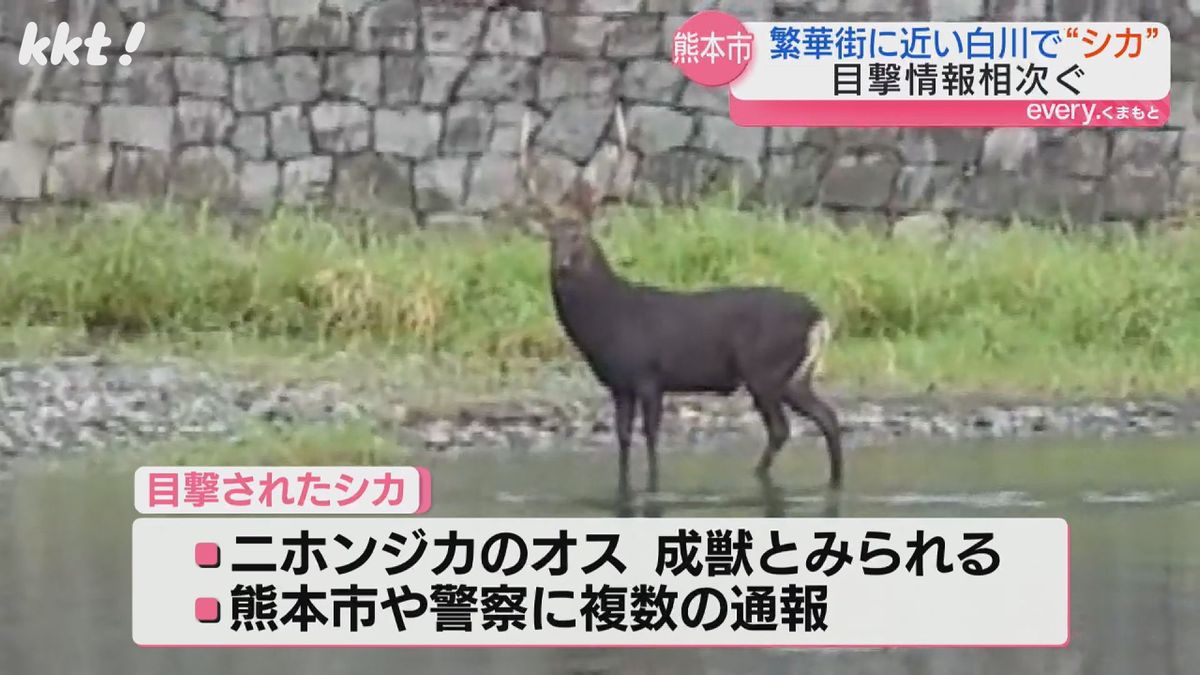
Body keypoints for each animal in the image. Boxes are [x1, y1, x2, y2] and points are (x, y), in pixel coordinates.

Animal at [516, 100, 844, 499]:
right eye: (551, 238)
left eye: (580, 235)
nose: (561, 265)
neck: (609, 322)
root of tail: (819, 318)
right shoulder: (619, 384)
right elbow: (623, 439)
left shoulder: (648, 375)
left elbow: (652, 438)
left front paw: (654, 488)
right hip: (794, 376)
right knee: (826, 417)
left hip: (765, 369)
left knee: (783, 428)